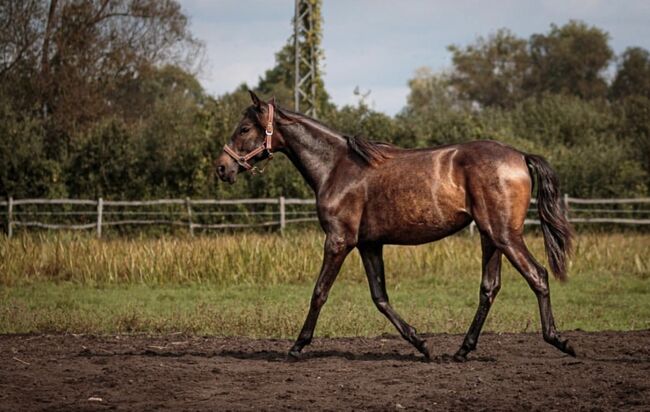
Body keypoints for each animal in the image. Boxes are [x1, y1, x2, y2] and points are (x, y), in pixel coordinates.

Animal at [215, 91, 576, 362]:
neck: (336, 167)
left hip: (505, 235)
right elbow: (380, 298)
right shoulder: (369, 244)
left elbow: (319, 292)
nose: (222, 168)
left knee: (537, 275)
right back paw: (462, 350)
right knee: (490, 288)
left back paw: (559, 340)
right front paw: (422, 344)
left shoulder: (339, 240)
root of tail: (520, 156)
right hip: (491, 238)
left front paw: (296, 346)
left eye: (244, 128)